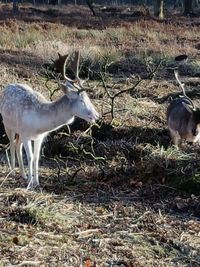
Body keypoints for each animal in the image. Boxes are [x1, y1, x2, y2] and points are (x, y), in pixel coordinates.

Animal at [0, 51, 99, 191]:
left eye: (88, 98)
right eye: (81, 100)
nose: (96, 115)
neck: (39, 124)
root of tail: (7, 86)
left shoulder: (39, 136)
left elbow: (36, 157)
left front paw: (36, 182)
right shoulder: (25, 133)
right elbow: (30, 157)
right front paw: (30, 183)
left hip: (18, 131)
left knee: (17, 145)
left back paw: (22, 174)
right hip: (7, 124)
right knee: (12, 144)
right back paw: (13, 172)